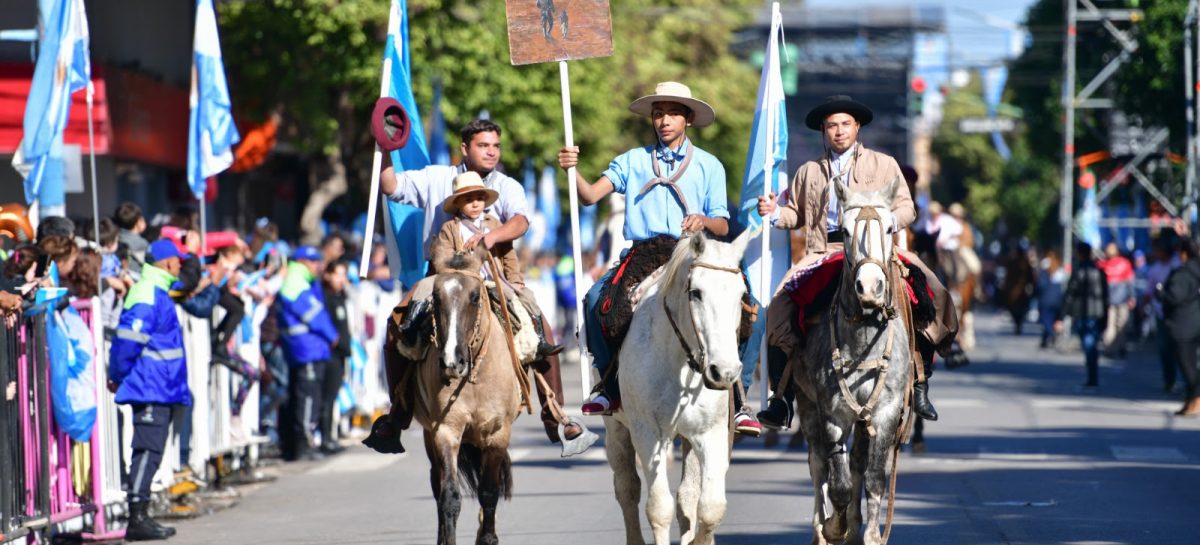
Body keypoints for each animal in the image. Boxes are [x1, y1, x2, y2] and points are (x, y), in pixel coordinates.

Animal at [405, 252, 523, 545]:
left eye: (474, 297)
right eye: (436, 297)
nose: (451, 362)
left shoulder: (497, 434)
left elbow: (489, 492)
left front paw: (488, 537)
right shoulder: (445, 430)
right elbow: (449, 496)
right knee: (437, 483)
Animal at [609, 230, 748, 545]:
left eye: (741, 294)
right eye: (695, 292)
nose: (725, 372)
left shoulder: (711, 433)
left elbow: (710, 507)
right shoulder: (648, 434)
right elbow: (658, 508)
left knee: (687, 496)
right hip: (616, 428)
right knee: (626, 488)